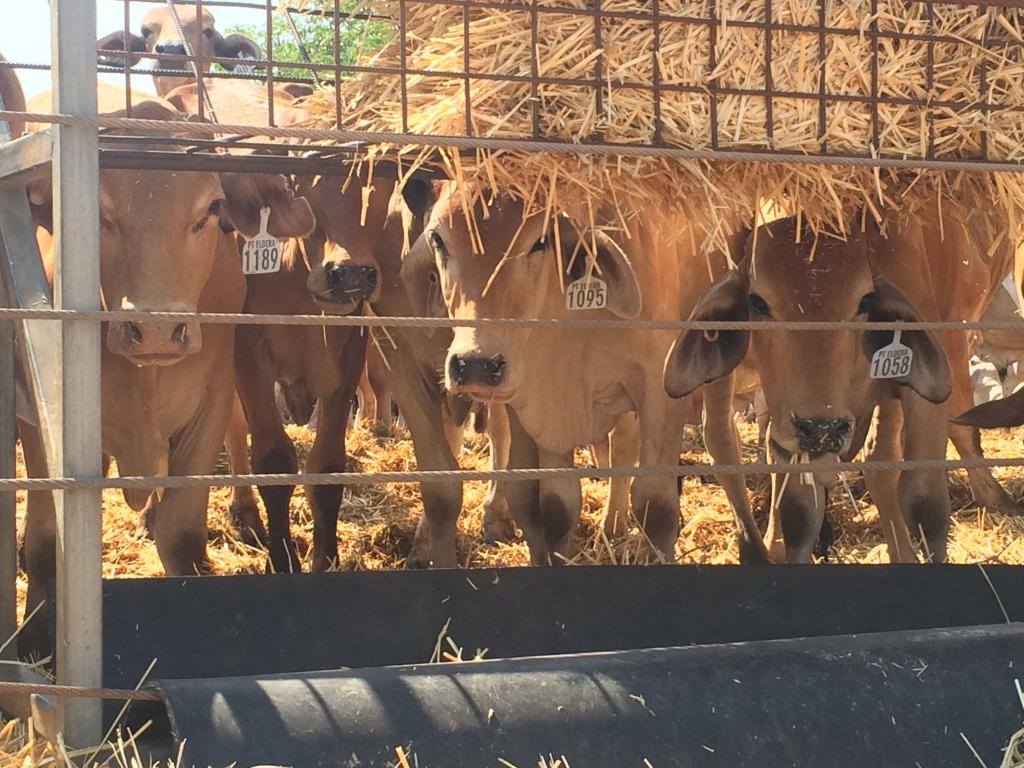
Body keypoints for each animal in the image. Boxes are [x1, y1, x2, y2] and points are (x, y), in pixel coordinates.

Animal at [17, 92, 313, 655]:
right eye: (99, 213)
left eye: (212, 208)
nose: (154, 330)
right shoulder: (39, 413)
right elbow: (44, 541)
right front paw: (35, 639)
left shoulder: (211, 396)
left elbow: (182, 536)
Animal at [400, 183, 765, 565]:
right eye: (438, 238)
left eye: (540, 240)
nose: (476, 366)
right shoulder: (545, 399)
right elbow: (557, 508)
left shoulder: (657, 388)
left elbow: (656, 506)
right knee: (623, 445)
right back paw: (613, 524)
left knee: (720, 439)